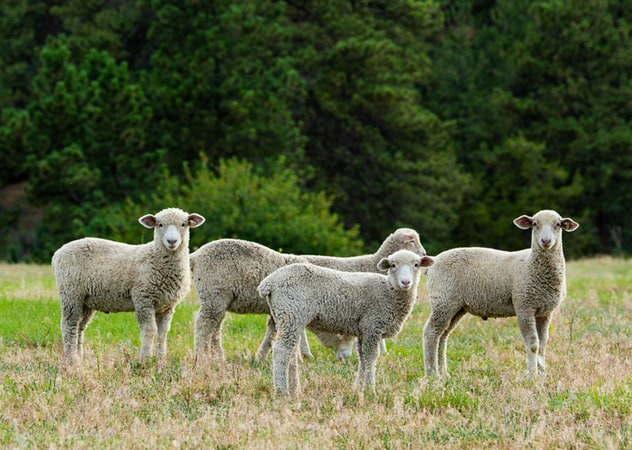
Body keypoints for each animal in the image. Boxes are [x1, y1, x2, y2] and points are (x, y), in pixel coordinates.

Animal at [52, 207, 205, 366]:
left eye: (184, 224)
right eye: (160, 224)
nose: (172, 241)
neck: (156, 258)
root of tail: (58, 253)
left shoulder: (167, 306)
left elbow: (162, 334)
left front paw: (161, 361)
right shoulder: (143, 299)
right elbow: (149, 331)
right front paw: (145, 361)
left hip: (86, 301)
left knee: (80, 328)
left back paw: (79, 359)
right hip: (70, 293)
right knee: (69, 326)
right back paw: (71, 360)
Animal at [190, 229, 428, 362]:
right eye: (412, 241)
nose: (426, 254)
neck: (370, 263)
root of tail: (196, 255)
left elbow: (272, 333)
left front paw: (261, 357)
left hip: (220, 298)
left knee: (215, 327)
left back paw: (217, 357)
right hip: (214, 295)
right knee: (203, 323)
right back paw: (201, 357)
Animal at [256, 248, 434, 396]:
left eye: (416, 265)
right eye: (393, 265)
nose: (406, 282)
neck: (388, 291)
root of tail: (269, 283)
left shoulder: (363, 330)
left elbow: (363, 358)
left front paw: (358, 388)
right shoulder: (373, 325)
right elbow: (371, 357)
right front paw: (370, 391)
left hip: (288, 317)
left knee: (291, 352)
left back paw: (294, 390)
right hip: (291, 313)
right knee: (281, 350)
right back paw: (282, 392)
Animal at [422, 209, 580, 378]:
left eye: (557, 224)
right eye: (535, 224)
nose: (546, 241)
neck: (532, 264)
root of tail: (433, 261)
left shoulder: (545, 312)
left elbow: (543, 345)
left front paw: (543, 374)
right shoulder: (524, 307)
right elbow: (533, 344)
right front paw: (532, 375)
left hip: (456, 306)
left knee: (443, 335)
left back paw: (444, 373)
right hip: (443, 300)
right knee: (431, 332)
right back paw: (432, 373)